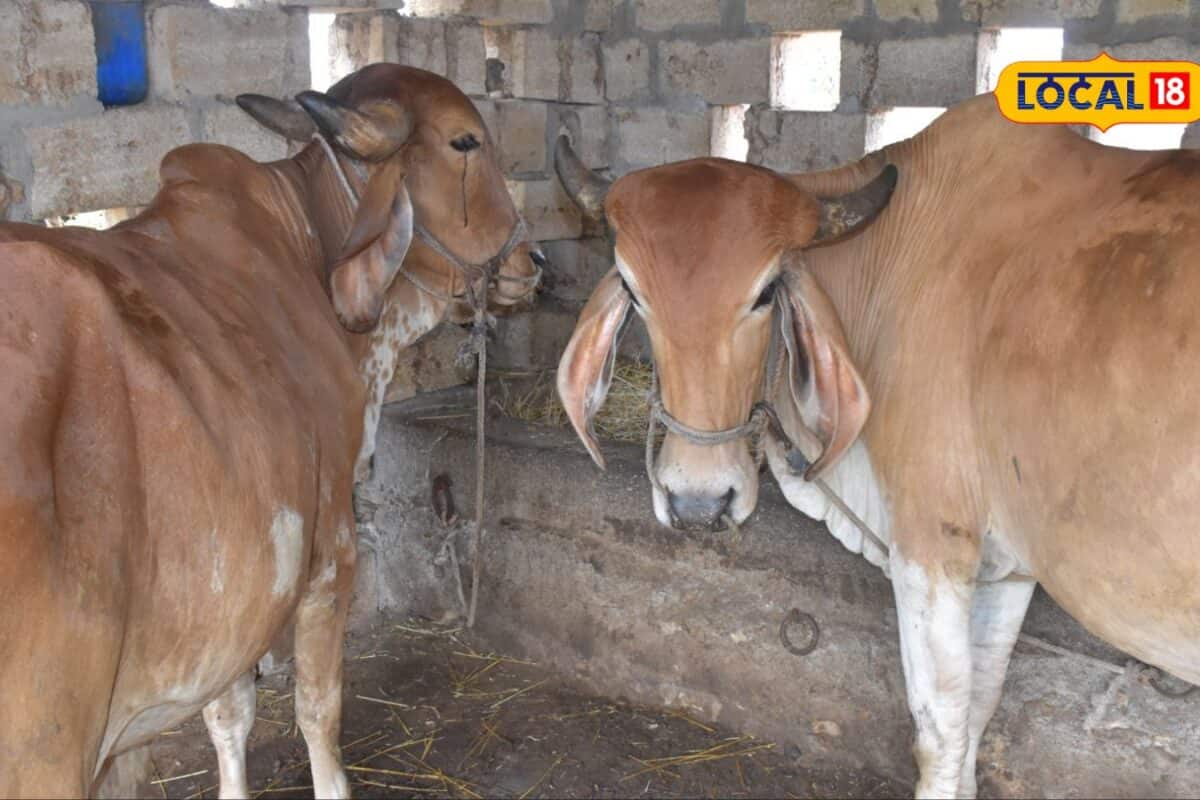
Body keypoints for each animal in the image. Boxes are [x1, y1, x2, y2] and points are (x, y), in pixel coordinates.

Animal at [0, 63, 540, 798]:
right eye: (465, 141)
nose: (534, 262)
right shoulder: (329, 550)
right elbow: (318, 708)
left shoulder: (242, 593)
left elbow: (229, 716)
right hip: (45, 750)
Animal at [553, 93, 1200, 798]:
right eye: (633, 290)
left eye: (766, 291)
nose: (699, 502)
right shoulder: (1008, 566)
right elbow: (978, 713)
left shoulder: (931, 542)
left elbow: (940, 733)